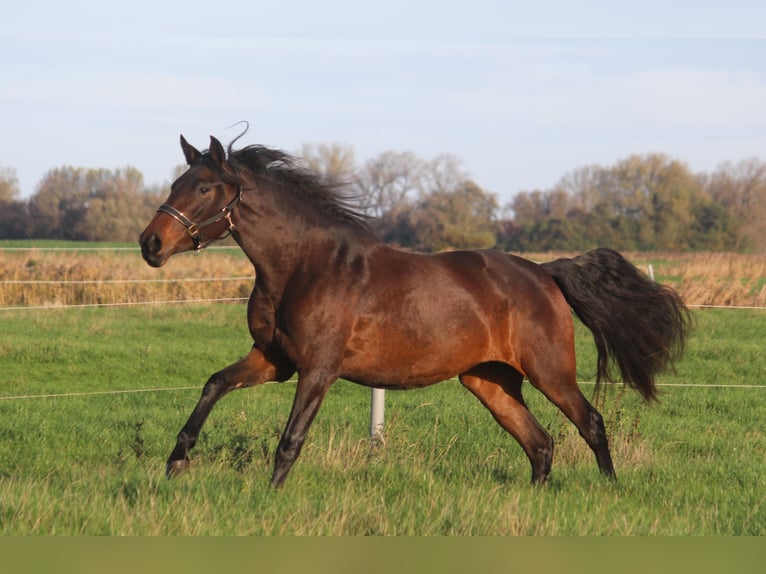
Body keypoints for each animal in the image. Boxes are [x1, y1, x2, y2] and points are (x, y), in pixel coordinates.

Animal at [140, 135, 696, 490]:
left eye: (204, 188)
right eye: (175, 184)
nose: (150, 244)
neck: (304, 265)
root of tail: (544, 273)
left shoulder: (318, 369)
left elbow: (290, 440)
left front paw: (270, 499)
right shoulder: (275, 361)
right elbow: (214, 384)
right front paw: (176, 463)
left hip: (550, 372)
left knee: (590, 424)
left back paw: (611, 490)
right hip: (489, 381)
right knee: (540, 444)